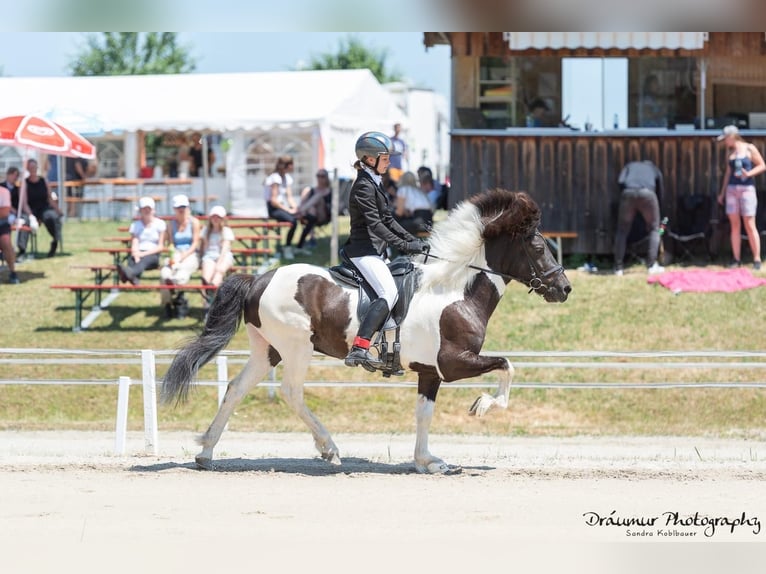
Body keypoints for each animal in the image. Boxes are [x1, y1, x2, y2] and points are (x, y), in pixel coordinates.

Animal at [164, 191, 568, 474]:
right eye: (538, 247)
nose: (564, 289)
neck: (453, 290)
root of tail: (258, 279)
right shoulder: (453, 363)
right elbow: (507, 365)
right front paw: (483, 405)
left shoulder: (430, 371)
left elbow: (424, 414)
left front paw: (427, 461)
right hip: (296, 348)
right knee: (291, 392)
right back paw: (328, 448)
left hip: (268, 349)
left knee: (236, 389)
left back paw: (205, 452)